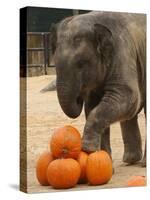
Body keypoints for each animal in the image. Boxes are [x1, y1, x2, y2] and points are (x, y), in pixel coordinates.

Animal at [49, 11, 146, 166]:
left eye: (81, 64)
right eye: (55, 64)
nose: (79, 97)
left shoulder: (122, 52)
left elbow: (128, 97)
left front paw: (87, 149)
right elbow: (92, 105)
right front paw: (102, 158)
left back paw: (142, 164)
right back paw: (130, 160)